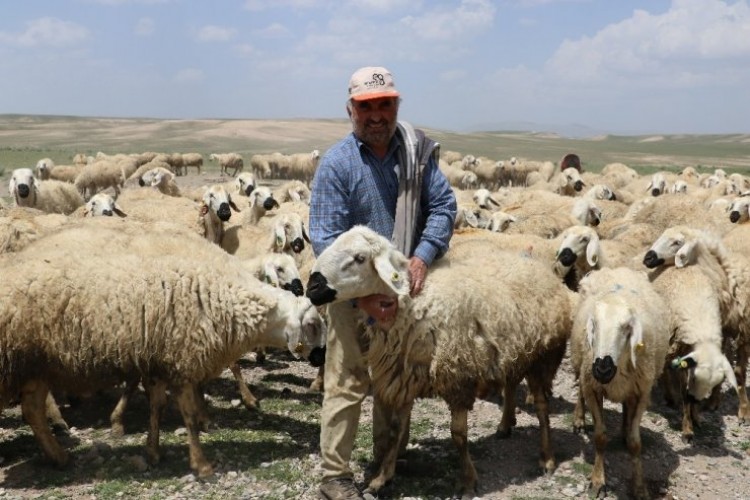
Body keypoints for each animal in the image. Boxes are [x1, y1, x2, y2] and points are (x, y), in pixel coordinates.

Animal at [0, 221, 326, 478]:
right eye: (313, 325)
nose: (322, 356)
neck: (226, 294)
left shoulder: (158, 358)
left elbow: (157, 403)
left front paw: (153, 449)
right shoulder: (179, 359)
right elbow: (189, 413)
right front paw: (201, 462)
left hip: (36, 366)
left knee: (32, 410)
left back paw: (59, 455)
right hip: (19, 363)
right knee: (34, 408)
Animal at [306, 226, 576, 496]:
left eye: (360, 258)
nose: (312, 287)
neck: (414, 305)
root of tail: (544, 271)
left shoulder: (458, 378)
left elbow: (458, 434)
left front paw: (467, 480)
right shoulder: (406, 376)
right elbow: (395, 430)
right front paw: (382, 477)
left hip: (543, 357)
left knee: (542, 406)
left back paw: (547, 457)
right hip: (516, 354)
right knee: (510, 384)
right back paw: (505, 425)